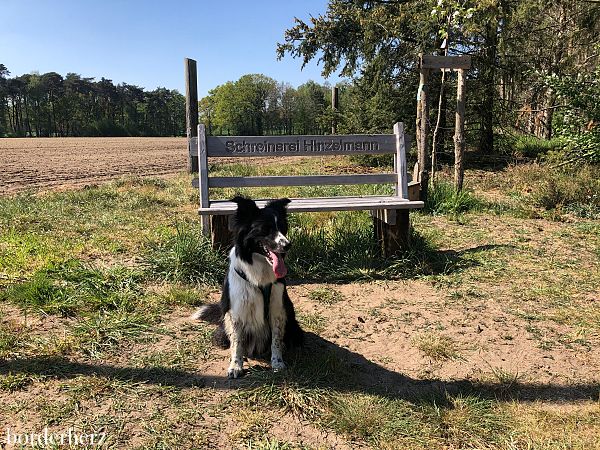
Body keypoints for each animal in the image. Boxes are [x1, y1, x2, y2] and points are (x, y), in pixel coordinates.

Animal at [193, 196, 304, 376]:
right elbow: (237, 342)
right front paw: (236, 365)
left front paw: (277, 362)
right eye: (265, 229)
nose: (288, 245)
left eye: (282, 228)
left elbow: (276, 340)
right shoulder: (236, 312)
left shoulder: (277, 309)